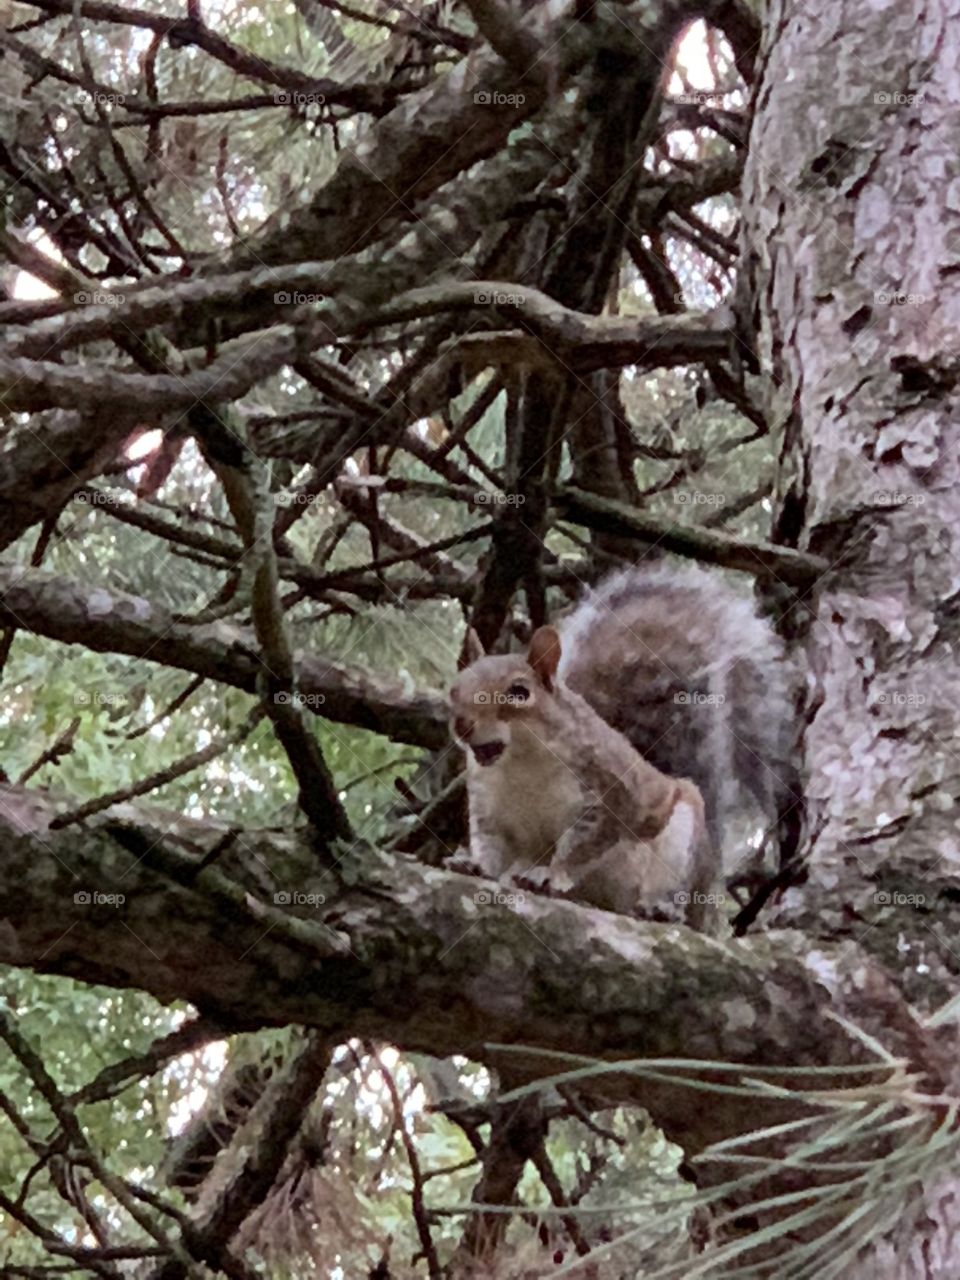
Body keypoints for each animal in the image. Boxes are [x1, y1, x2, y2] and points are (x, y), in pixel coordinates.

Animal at [448, 563, 794, 926]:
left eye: (519, 692)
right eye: (455, 688)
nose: (462, 724)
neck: (520, 765)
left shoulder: (611, 794)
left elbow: (580, 847)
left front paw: (551, 874)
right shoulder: (489, 809)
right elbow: (491, 847)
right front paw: (474, 864)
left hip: (681, 841)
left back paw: (659, 908)